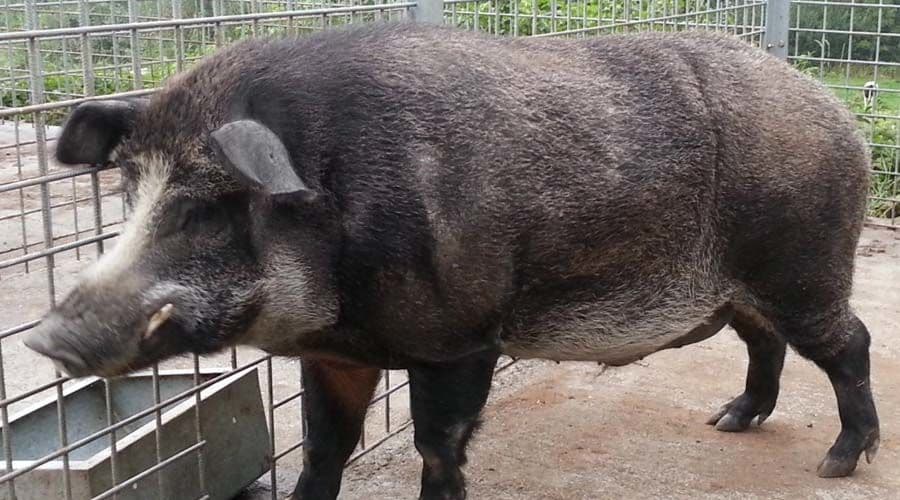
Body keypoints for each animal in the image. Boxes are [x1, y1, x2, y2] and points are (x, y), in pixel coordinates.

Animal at [24, 22, 879, 499]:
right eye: (129, 189)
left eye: (205, 207)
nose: (44, 336)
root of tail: (834, 110)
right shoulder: (334, 354)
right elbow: (324, 448)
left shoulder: (461, 337)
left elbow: (437, 449)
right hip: (744, 289)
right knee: (765, 341)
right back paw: (729, 421)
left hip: (803, 263)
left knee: (850, 343)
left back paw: (839, 464)